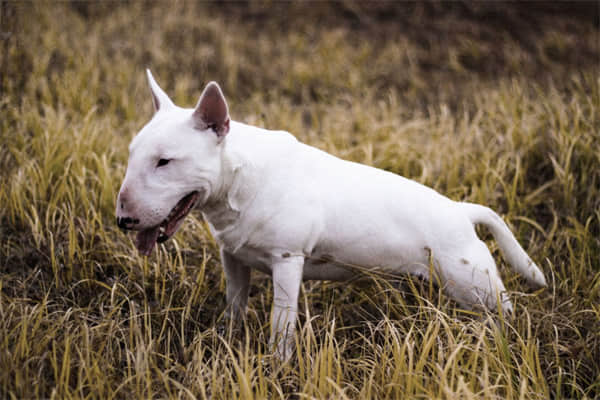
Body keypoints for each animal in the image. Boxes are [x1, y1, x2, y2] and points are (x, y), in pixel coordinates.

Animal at [115, 69, 548, 360]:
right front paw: (225, 341)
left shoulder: (288, 260)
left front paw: (277, 366)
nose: (123, 221)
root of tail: (461, 211)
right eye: (132, 153)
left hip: (474, 283)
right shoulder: (232, 256)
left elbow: (281, 324)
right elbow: (234, 306)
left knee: (506, 311)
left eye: (165, 161)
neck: (238, 179)